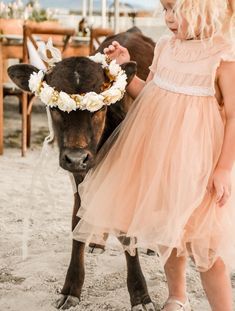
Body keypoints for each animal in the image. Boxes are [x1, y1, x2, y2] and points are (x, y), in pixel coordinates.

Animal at [8, 28, 157, 310]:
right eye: (54, 106)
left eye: (99, 107)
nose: (77, 158)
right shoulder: (78, 179)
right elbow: (78, 221)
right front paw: (71, 287)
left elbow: (126, 232)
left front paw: (140, 294)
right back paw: (97, 242)